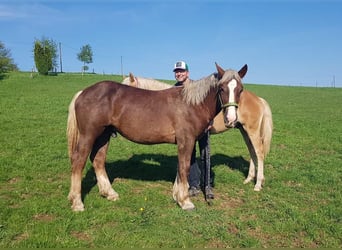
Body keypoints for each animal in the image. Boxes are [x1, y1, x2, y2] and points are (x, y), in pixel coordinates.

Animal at [66, 63, 246, 211]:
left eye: (240, 89)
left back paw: (109, 193)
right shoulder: (186, 141)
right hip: (89, 134)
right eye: (221, 88)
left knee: (98, 160)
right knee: (78, 161)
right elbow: (184, 167)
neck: (191, 103)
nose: (231, 119)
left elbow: (181, 167)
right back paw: (77, 202)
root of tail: (83, 92)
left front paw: (177, 195)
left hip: (104, 135)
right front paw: (185, 201)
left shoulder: (186, 142)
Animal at [123, 72, 272, 191]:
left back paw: (258, 184)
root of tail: (259, 99)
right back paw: (248, 179)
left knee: (259, 152)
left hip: (252, 130)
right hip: (244, 130)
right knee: (252, 151)